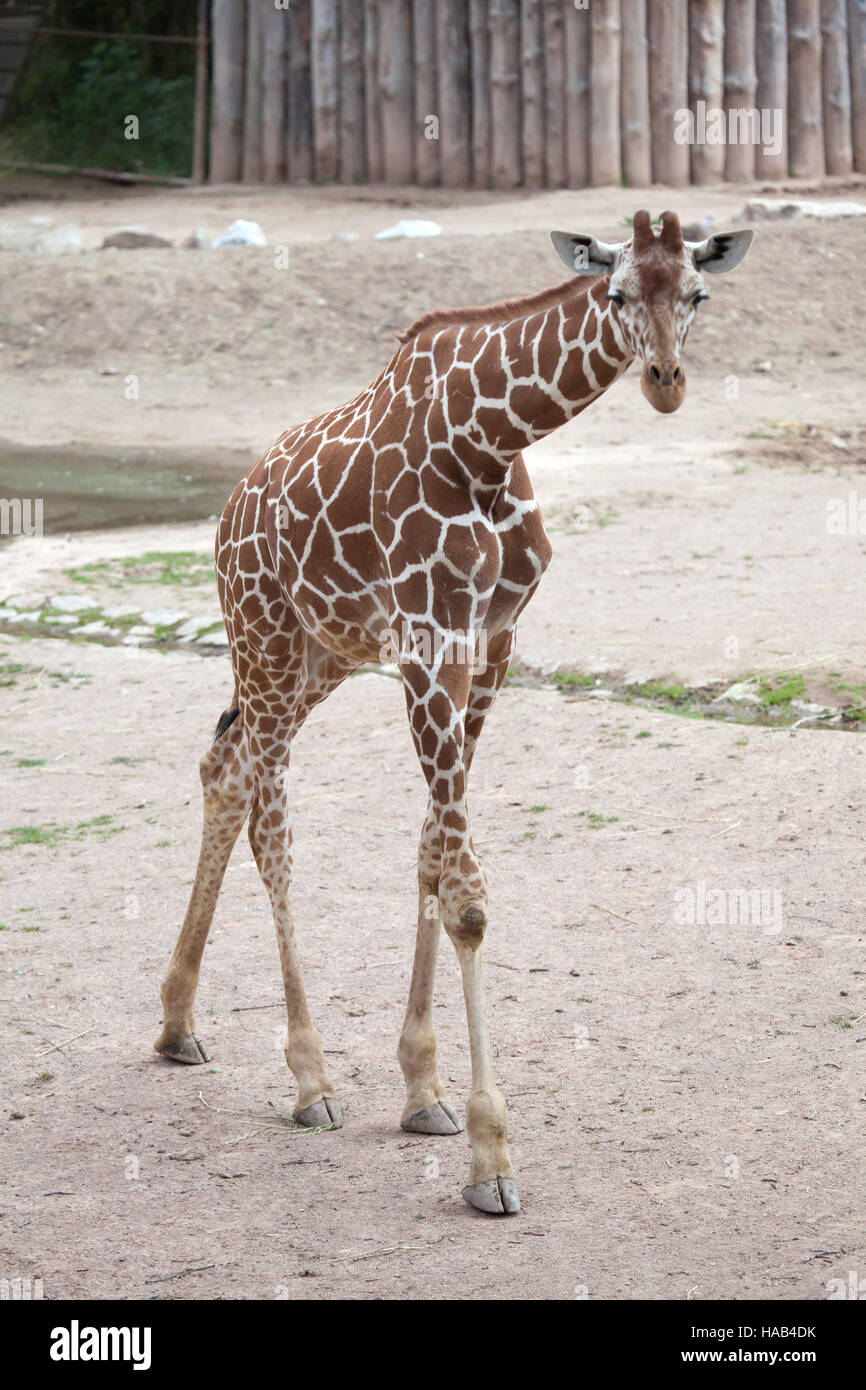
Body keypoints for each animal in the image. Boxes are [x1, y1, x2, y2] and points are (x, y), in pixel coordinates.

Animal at [154, 210, 753, 1215]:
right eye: (616, 292)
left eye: (699, 292)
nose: (666, 382)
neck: (491, 439)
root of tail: (230, 509)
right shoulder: (430, 645)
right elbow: (467, 892)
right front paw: (491, 1157)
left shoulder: (491, 643)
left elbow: (435, 857)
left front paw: (423, 1090)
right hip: (265, 637)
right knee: (270, 822)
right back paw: (308, 1078)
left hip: (320, 655)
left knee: (223, 766)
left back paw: (175, 1024)